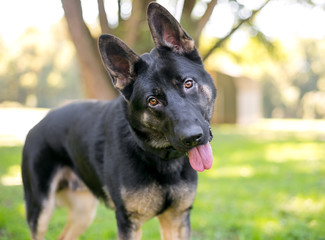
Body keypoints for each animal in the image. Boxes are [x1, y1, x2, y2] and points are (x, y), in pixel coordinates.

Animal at [22, 2, 215, 240]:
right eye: (153, 101)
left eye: (188, 84)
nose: (193, 137)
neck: (161, 158)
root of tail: (40, 121)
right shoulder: (128, 222)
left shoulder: (177, 219)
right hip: (41, 210)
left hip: (83, 211)